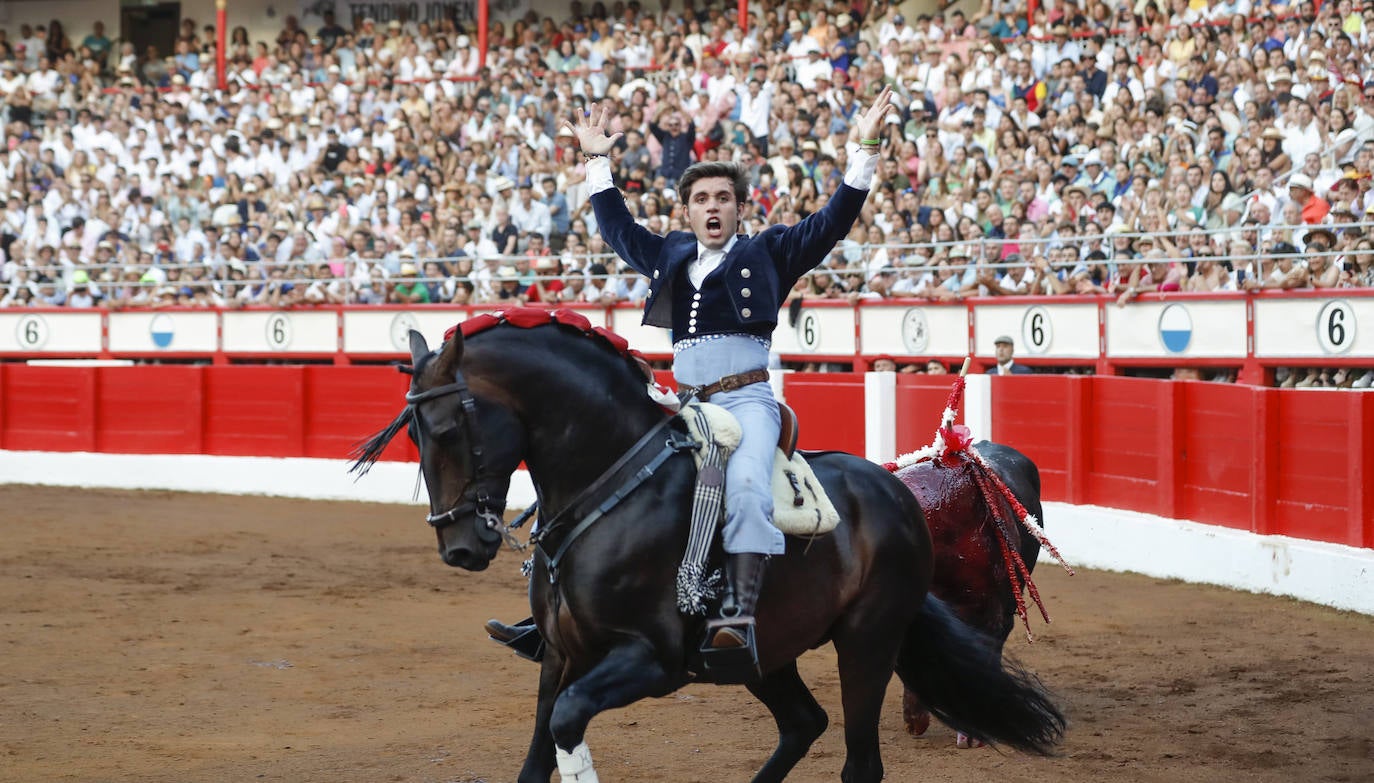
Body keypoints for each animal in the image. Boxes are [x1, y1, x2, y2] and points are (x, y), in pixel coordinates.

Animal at [354, 310, 1060, 780]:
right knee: (804, 724)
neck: (609, 488)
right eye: (412, 433)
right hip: (764, 655)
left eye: (448, 429)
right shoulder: (560, 655)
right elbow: (537, 753)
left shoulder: (652, 660)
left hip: (867, 641)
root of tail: (898, 492)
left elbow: (566, 724)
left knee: (860, 760)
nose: (459, 547)